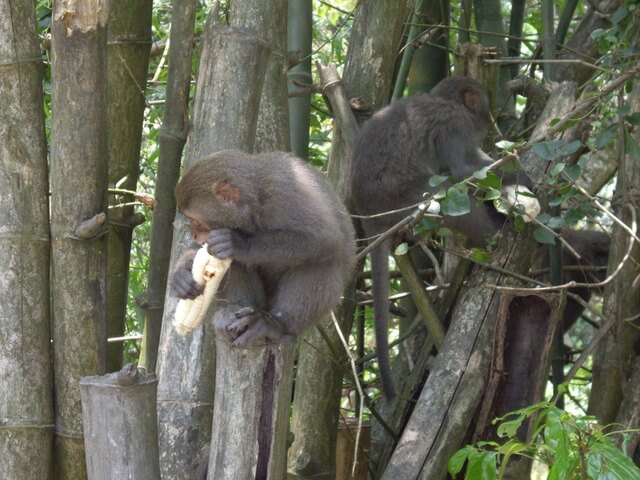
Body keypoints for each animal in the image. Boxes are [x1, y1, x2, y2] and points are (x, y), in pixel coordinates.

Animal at [170, 150, 358, 344]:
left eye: (196, 222)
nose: (194, 234)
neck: (256, 202)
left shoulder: (287, 191)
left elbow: (324, 236)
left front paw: (239, 244)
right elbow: (204, 250)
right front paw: (181, 275)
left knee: (320, 259)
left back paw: (276, 324)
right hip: (258, 303)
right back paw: (234, 311)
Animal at [350, 76, 536, 398]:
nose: (489, 119)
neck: (445, 101)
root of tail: (370, 213)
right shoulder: (455, 125)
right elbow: (462, 170)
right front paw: (517, 175)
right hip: (406, 199)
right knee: (448, 193)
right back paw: (492, 238)